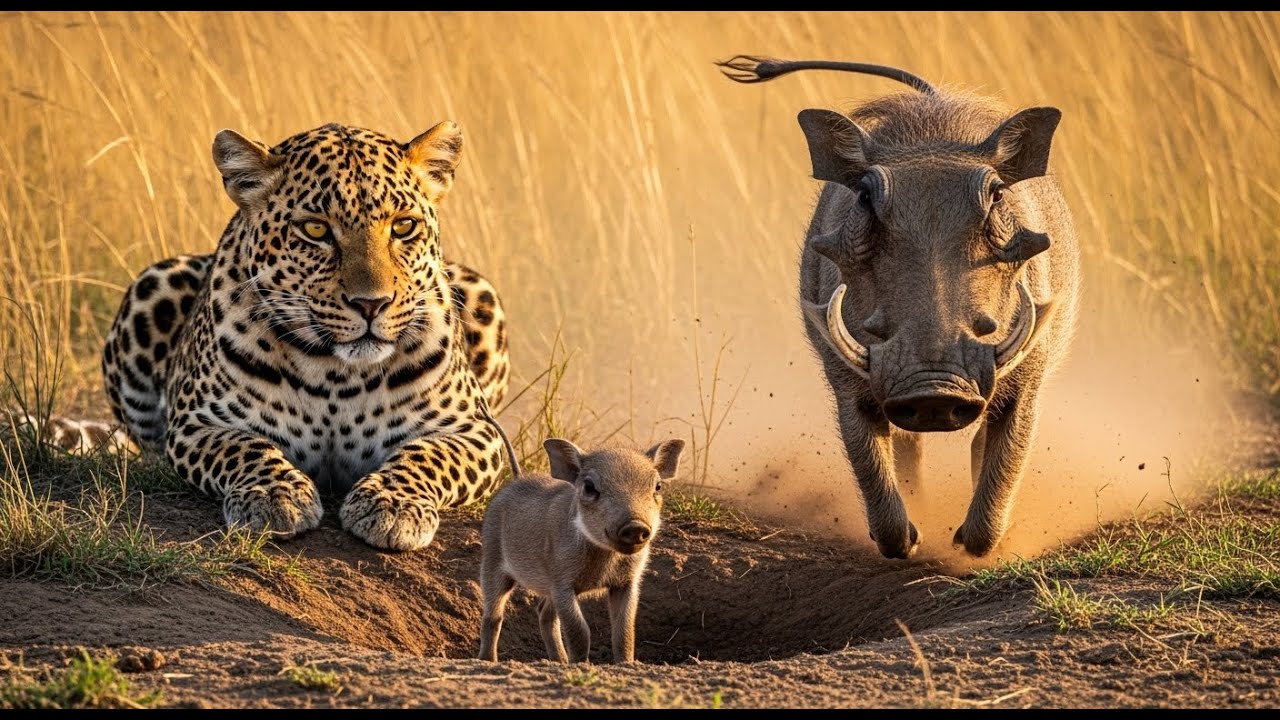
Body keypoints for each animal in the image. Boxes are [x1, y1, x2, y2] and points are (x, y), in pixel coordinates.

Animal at [98, 121, 511, 551]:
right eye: (316, 229)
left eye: (403, 226)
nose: (371, 304)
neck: (336, 374)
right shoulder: (199, 423)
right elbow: (247, 448)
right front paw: (275, 496)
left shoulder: (474, 429)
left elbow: (426, 455)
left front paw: (391, 504)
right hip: (152, 285)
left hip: (481, 292)